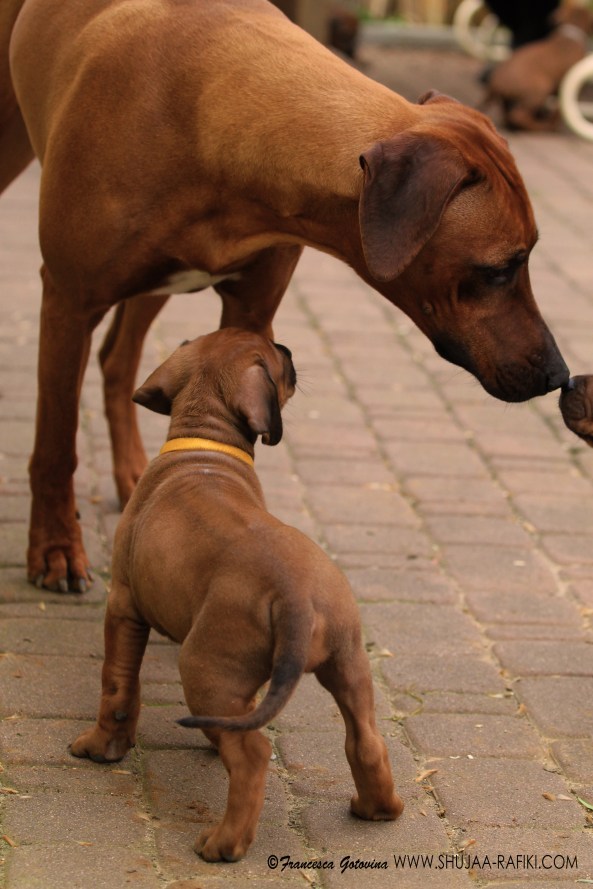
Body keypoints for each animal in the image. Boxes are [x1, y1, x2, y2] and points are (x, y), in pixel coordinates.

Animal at [2, 0, 568, 592]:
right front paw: (55, 548)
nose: (559, 375)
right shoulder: (68, 300)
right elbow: (54, 445)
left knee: (118, 358)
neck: (211, 118)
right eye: (500, 269)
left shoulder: (251, 311)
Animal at [70, 328, 404, 862]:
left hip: (204, 667)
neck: (207, 447)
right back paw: (377, 809)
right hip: (349, 662)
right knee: (365, 741)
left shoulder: (122, 605)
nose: (288, 347)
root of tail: (295, 598)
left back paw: (224, 844)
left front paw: (102, 745)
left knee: (252, 754)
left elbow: (118, 686)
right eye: (275, 356)